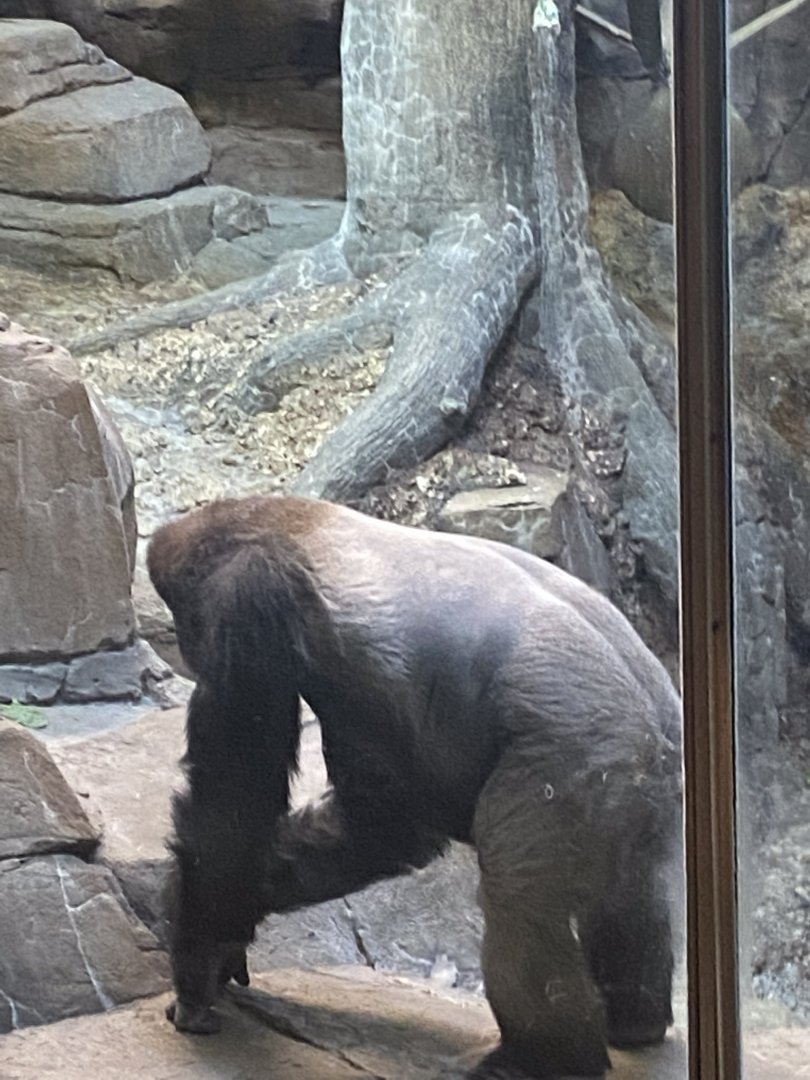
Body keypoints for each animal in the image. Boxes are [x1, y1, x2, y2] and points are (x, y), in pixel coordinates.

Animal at [148, 494, 682, 1079]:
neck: (273, 518)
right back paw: (636, 1018)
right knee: (628, 881)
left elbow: (234, 802)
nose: (186, 651)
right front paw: (228, 925)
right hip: (644, 781)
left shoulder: (247, 594)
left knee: (519, 898)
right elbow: (380, 825)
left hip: (579, 758)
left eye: (187, 624)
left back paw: (541, 1057)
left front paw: (199, 952)